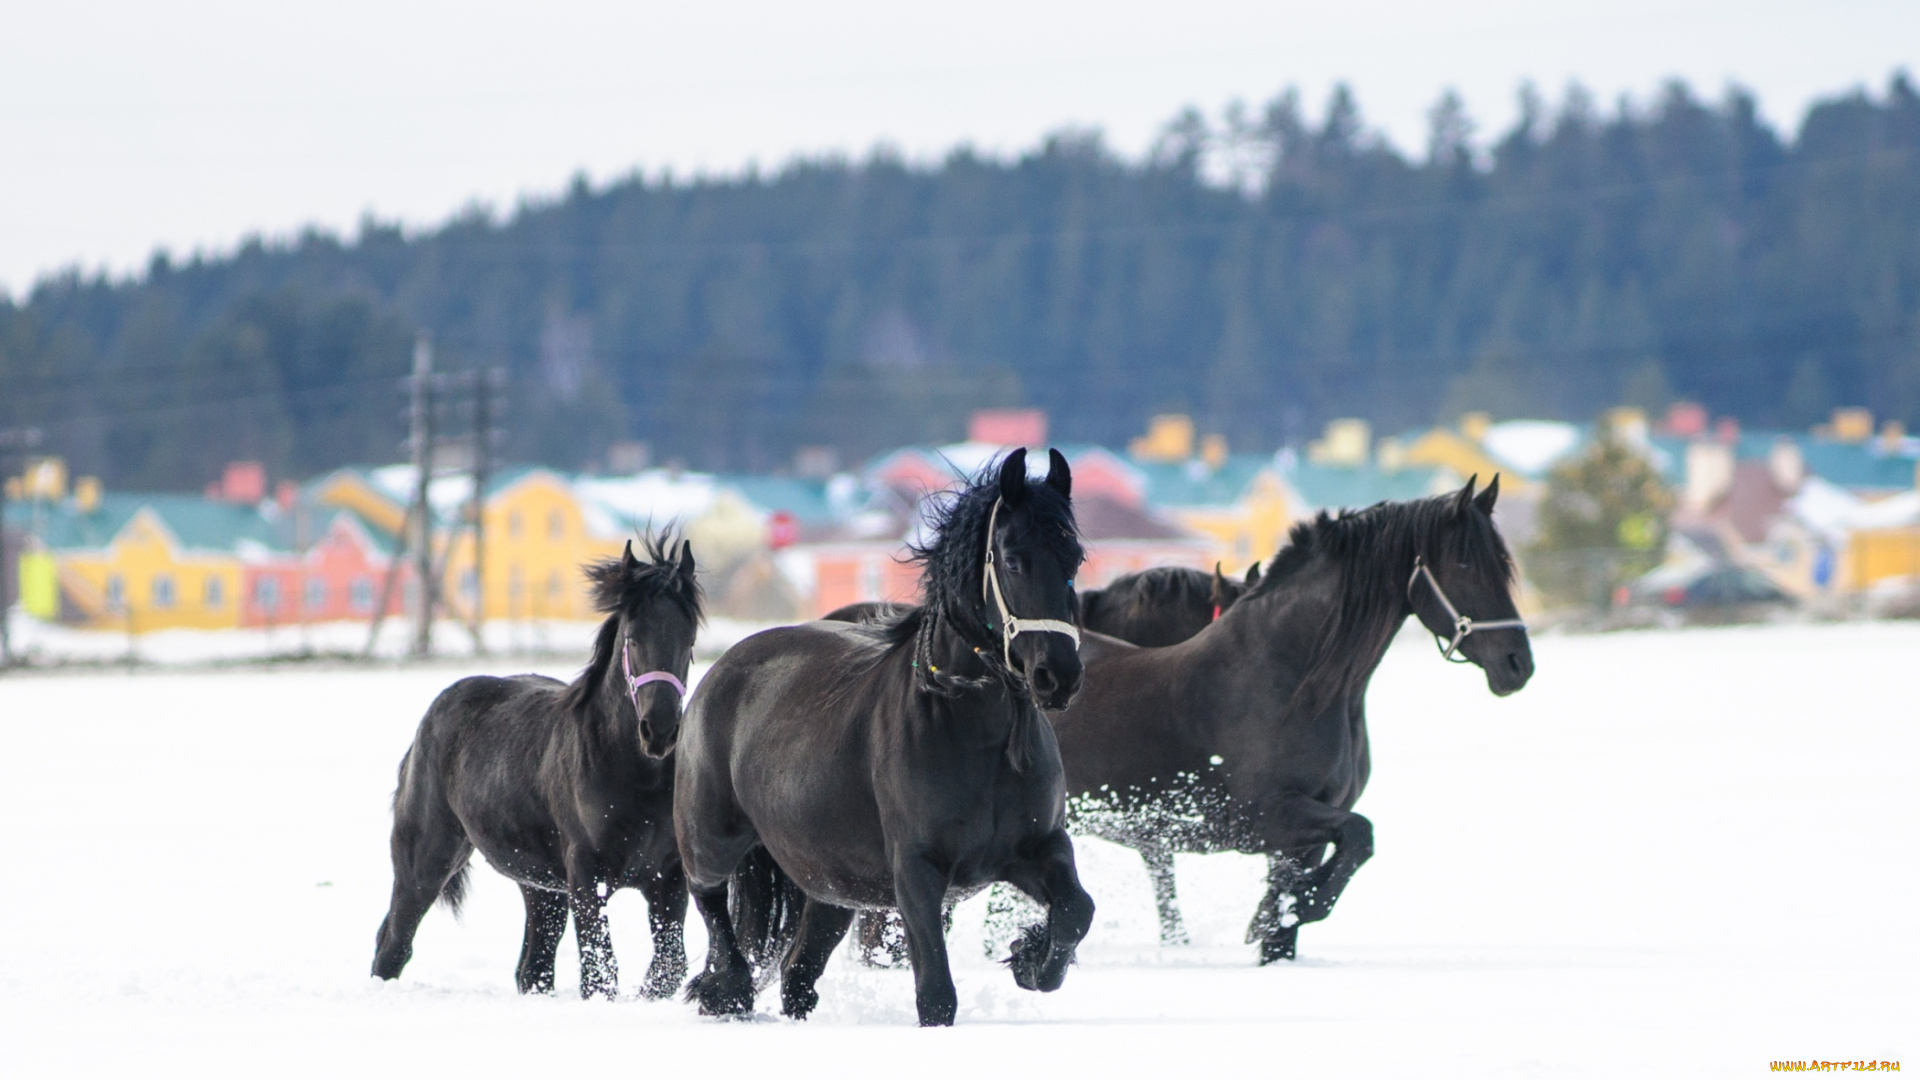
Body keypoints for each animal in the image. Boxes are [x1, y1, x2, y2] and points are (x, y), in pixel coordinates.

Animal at [370, 534, 702, 999]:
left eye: (688, 640)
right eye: (633, 638)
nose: (660, 730)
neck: (635, 777)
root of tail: (429, 720)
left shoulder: (667, 878)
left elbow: (668, 965)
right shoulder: (587, 876)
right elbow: (600, 972)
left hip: (541, 888)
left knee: (533, 968)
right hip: (426, 861)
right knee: (394, 943)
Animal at [675, 449, 1098, 1022]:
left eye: (1074, 559)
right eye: (1013, 560)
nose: (1059, 676)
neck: (977, 736)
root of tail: (721, 670)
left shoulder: (1037, 847)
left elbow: (1077, 909)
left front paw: (1032, 960)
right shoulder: (916, 872)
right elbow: (936, 995)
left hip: (831, 887)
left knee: (797, 973)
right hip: (712, 840)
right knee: (712, 903)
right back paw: (730, 988)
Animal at [1052, 478, 1528, 957]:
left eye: (1503, 563)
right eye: (1464, 564)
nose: (1518, 665)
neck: (1292, 682)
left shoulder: (1305, 833)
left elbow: (1297, 913)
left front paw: (1281, 913)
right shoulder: (1263, 820)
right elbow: (1359, 836)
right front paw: (1285, 910)